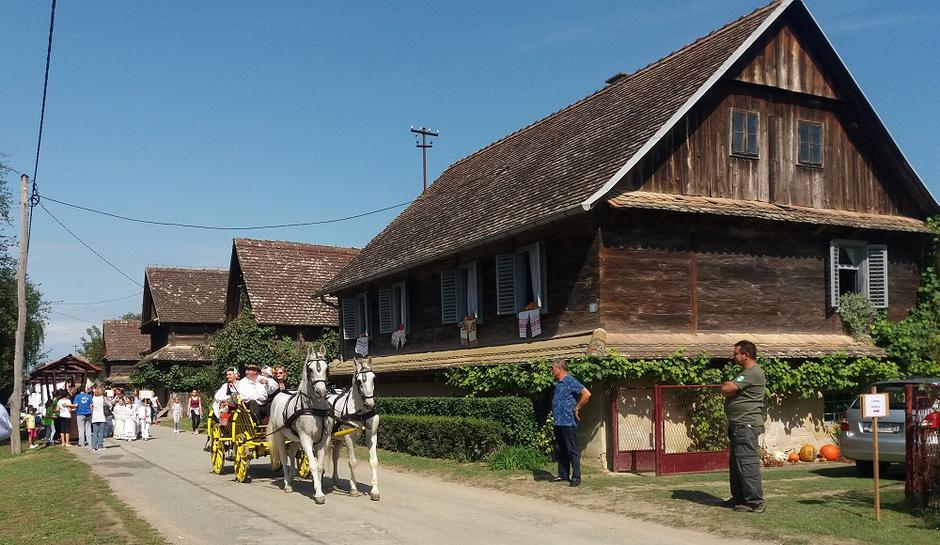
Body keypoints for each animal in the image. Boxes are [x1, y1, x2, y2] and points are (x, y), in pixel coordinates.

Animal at [268, 346, 334, 504]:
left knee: (291, 452)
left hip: (296, 438)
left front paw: (318, 487)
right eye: (310, 369)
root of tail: (279, 394)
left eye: (327, 368)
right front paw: (318, 494)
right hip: (280, 436)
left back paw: (292, 477)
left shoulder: (324, 439)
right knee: (283, 456)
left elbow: (320, 466)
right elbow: (313, 465)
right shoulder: (306, 438)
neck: (316, 410)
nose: (321, 392)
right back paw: (287, 483)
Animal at [326, 354, 378, 500]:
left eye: (374, 378)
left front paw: (375, 491)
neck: (360, 413)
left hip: (338, 439)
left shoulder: (372, 436)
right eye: (359, 381)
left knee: (335, 456)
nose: (370, 404)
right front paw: (354, 488)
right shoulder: (348, 437)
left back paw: (336, 481)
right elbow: (352, 462)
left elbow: (374, 461)